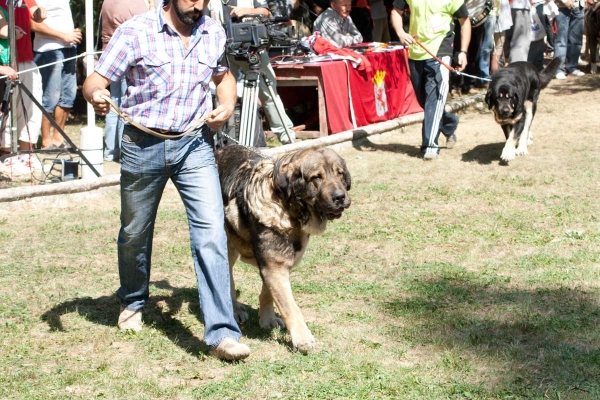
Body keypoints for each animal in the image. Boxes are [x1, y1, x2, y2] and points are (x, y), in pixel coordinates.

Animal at [214, 145, 352, 354]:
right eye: (316, 177)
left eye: (340, 174)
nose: (340, 197)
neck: (288, 208)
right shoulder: (275, 268)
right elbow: (290, 307)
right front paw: (302, 338)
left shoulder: (277, 266)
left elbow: (268, 293)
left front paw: (267, 319)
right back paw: (235, 310)